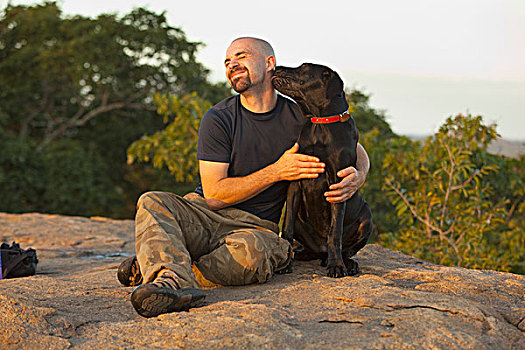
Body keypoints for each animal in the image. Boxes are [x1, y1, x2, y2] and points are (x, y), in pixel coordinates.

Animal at [270, 62, 372, 276]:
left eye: (304, 67)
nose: (277, 67)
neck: (321, 123)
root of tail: (320, 249)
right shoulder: (295, 181)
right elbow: (287, 228)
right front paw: (285, 262)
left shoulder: (338, 184)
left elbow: (335, 232)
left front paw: (337, 266)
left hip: (367, 218)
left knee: (345, 248)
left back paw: (344, 262)